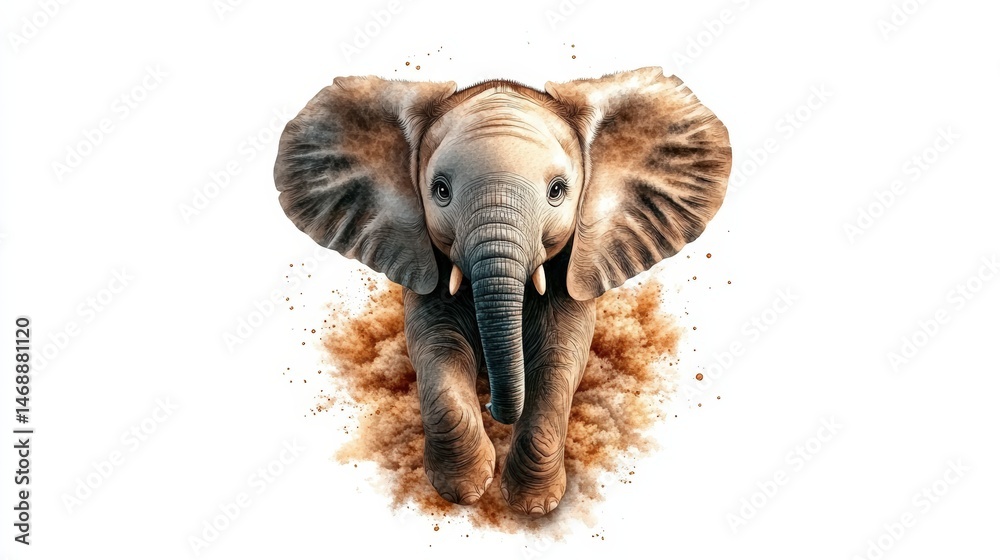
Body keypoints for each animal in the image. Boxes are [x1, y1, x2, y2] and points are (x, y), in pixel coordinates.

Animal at [273, 67, 731, 516]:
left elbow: (560, 355)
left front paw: (532, 506)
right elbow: (436, 345)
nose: (494, 405)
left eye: (557, 191)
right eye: (441, 191)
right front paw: (464, 492)